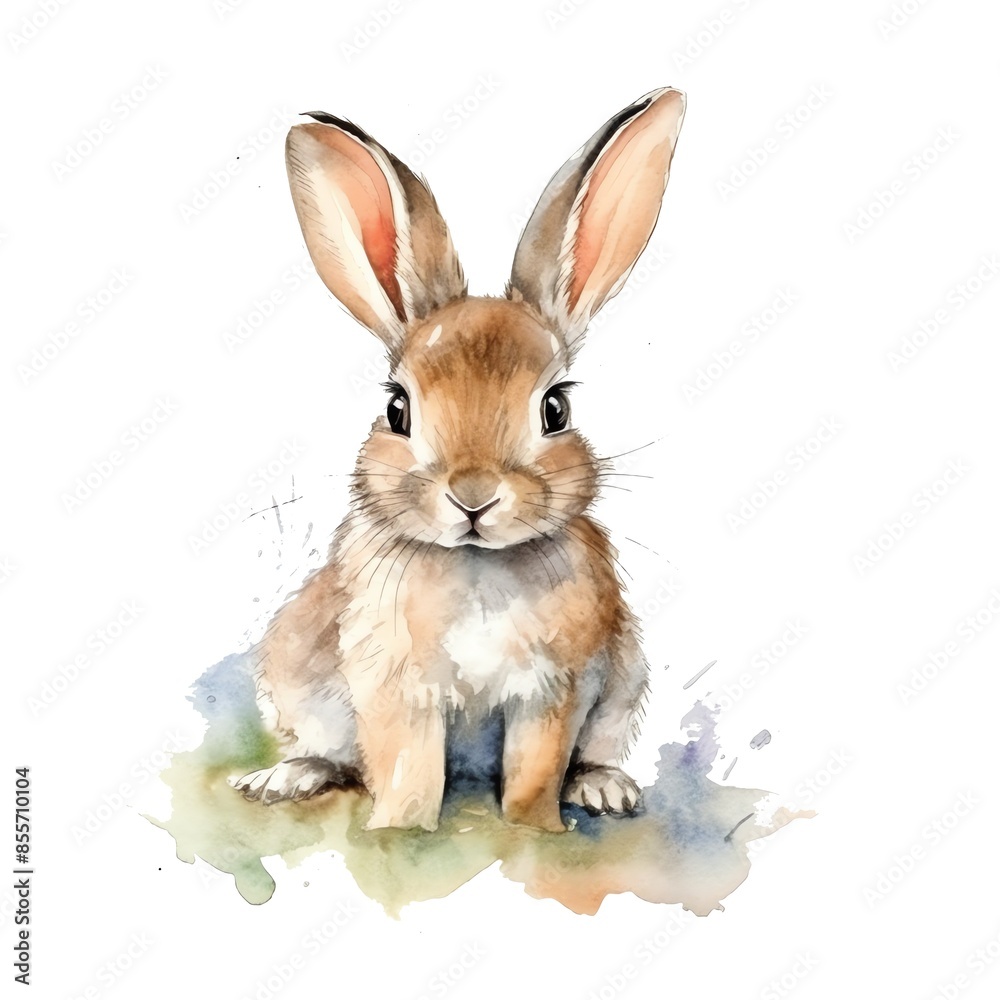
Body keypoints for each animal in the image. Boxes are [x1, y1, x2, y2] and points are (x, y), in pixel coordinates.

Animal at [231, 87, 686, 832]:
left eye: (555, 410)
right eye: (397, 409)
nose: (473, 495)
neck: (478, 566)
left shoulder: (554, 689)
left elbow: (534, 772)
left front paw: (536, 831)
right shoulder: (394, 688)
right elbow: (408, 774)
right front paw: (398, 833)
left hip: (626, 680)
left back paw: (602, 788)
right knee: (327, 754)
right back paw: (286, 777)